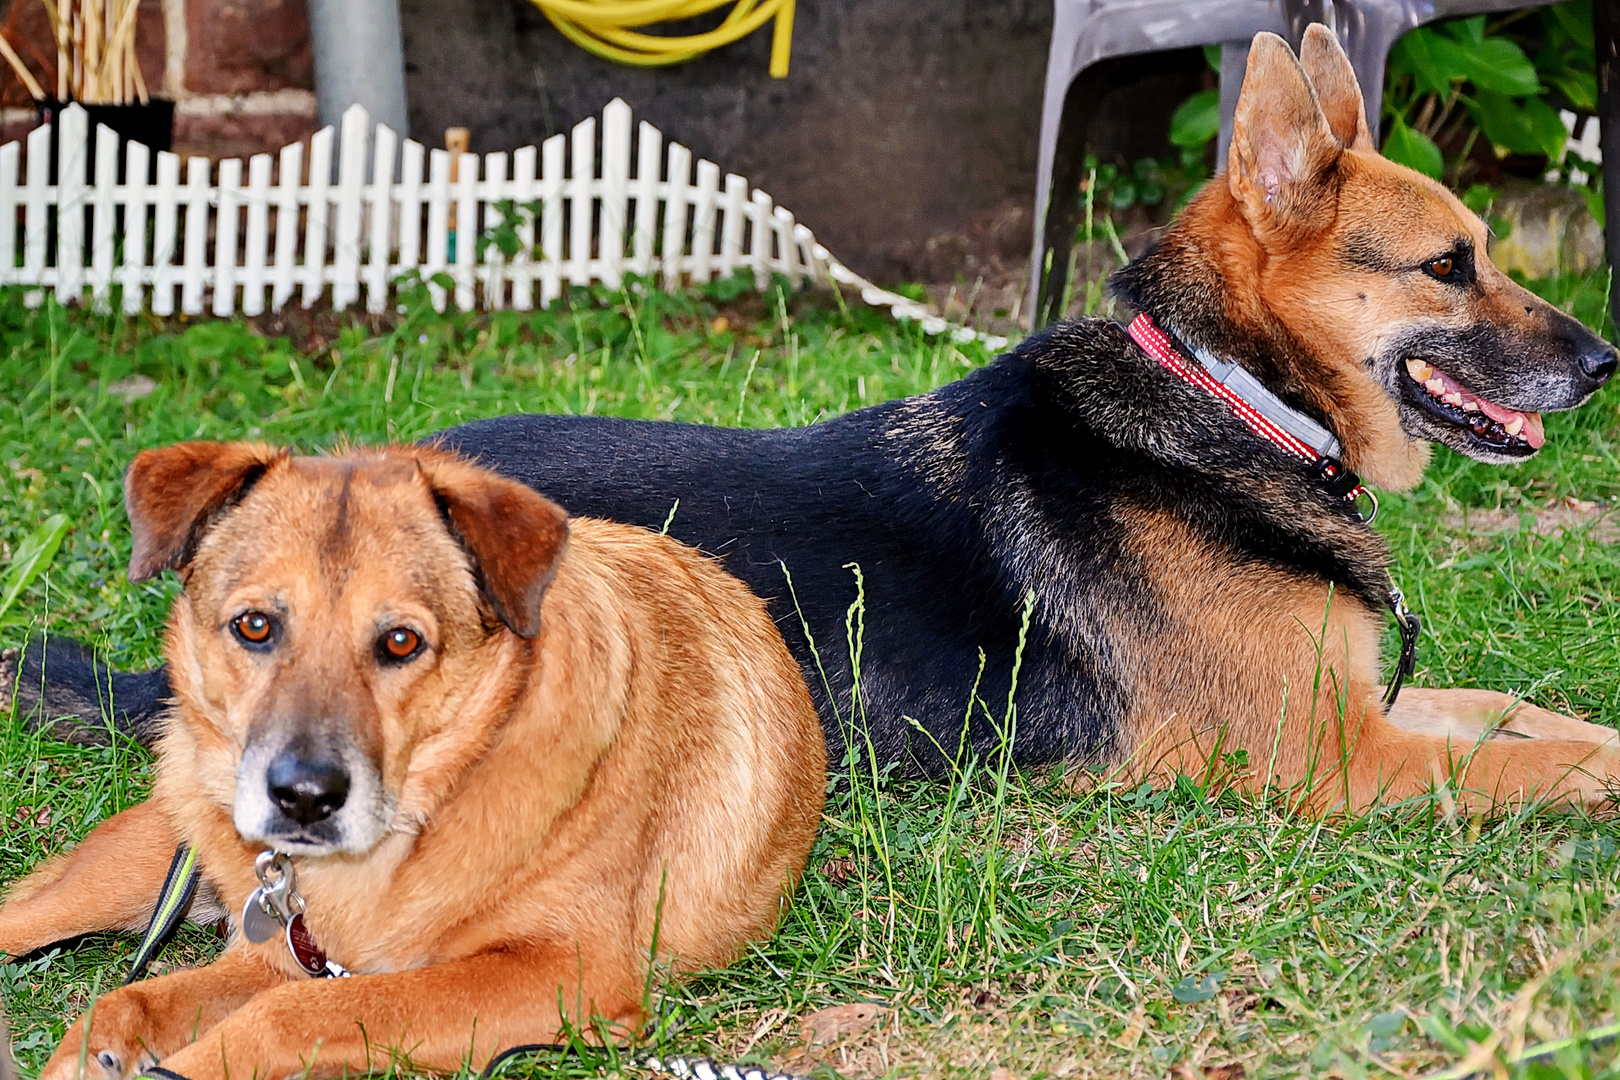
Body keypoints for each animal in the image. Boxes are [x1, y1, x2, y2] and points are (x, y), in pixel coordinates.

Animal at [0, 443, 822, 1080]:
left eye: (401, 641)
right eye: (255, 625)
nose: (303, 798)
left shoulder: (563, 973)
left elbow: (292, 1013)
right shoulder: (272, 957)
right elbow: (148, 997)